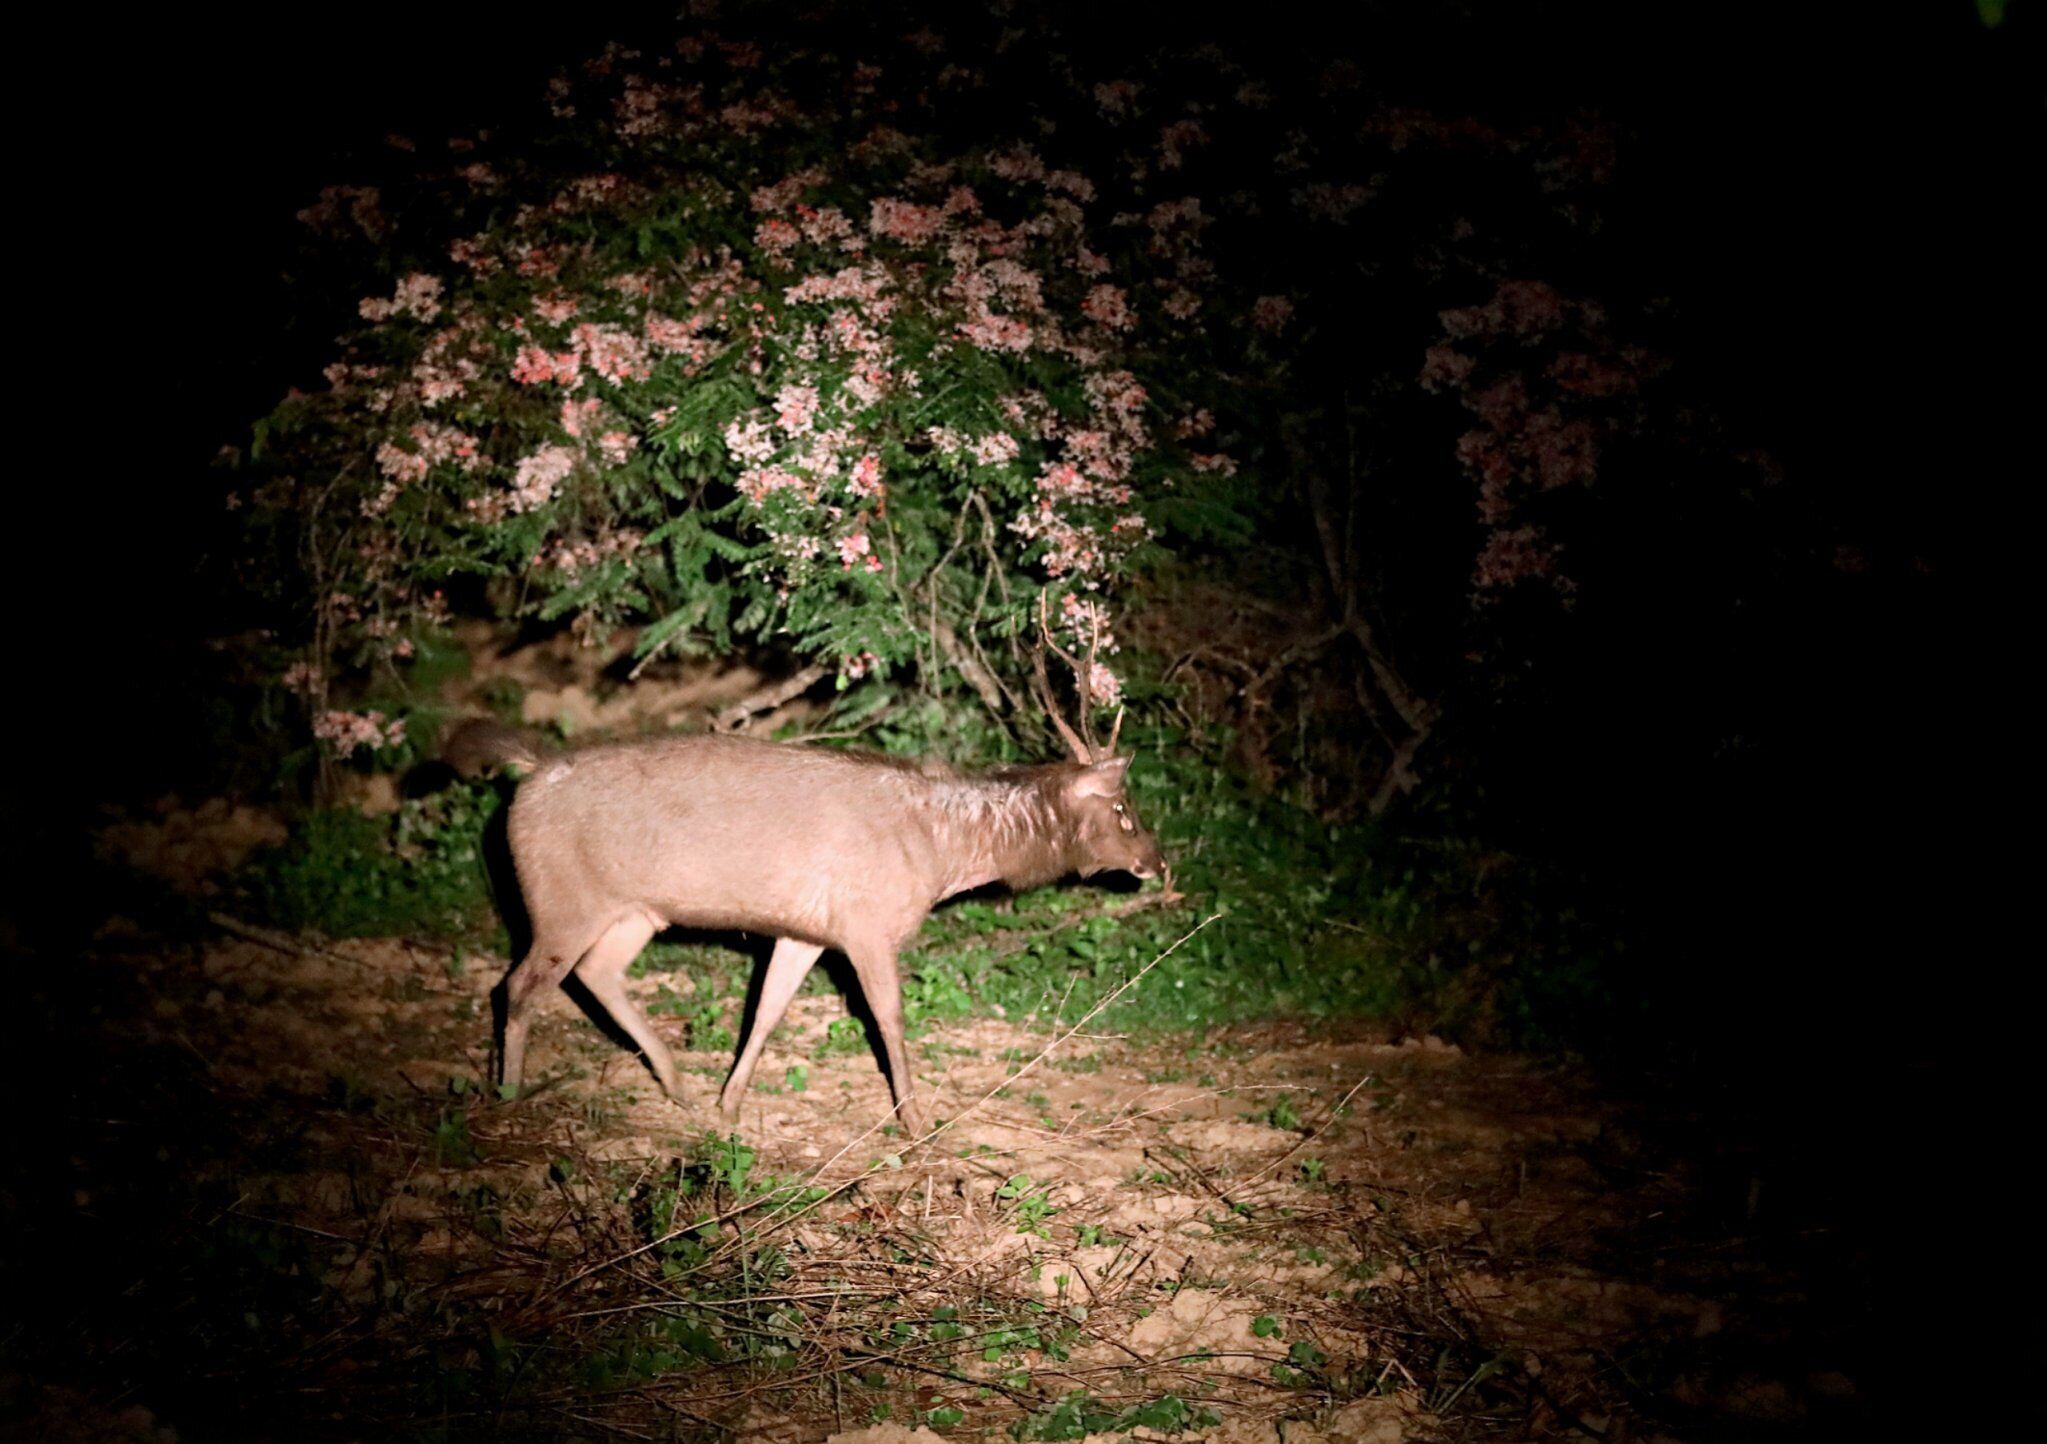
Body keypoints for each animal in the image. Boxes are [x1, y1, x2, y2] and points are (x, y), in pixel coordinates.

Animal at [445, 603, 1166, 1138]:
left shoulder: (804, 930)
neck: (942, 853)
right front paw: (917, 1122)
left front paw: (728, 1106)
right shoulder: (868, 923)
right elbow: (889, 1019)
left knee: (596, 973)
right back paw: (509, 1095)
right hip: (560, 899)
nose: (1157, 862)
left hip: (635, 910)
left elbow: (765, 1011)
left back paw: (676, 1085)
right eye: (1124, 810)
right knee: (518, 986)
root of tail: (530, 772)